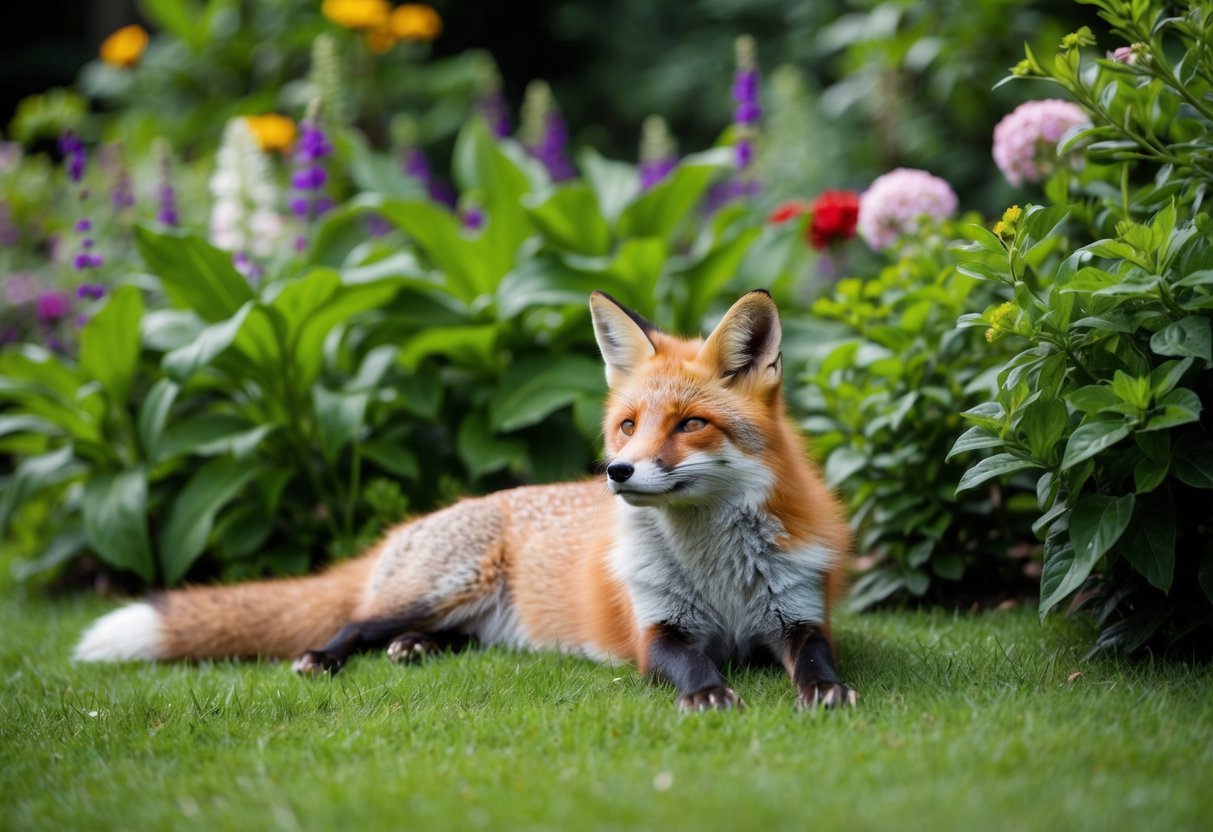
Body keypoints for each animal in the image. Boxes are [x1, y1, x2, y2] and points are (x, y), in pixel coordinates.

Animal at [75, 290, 856, 710]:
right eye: (629, 425)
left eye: (690, 424)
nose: (617, 472)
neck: (718, 579)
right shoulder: (656, 629)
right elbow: (692, 666)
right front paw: (708, 695)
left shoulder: (797, 613)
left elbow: (816, 659)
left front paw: (826, 691)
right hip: (444, 585)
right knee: (355, 621)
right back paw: (329, 656)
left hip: (472, 612)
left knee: (431, 636)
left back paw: (414, 651)